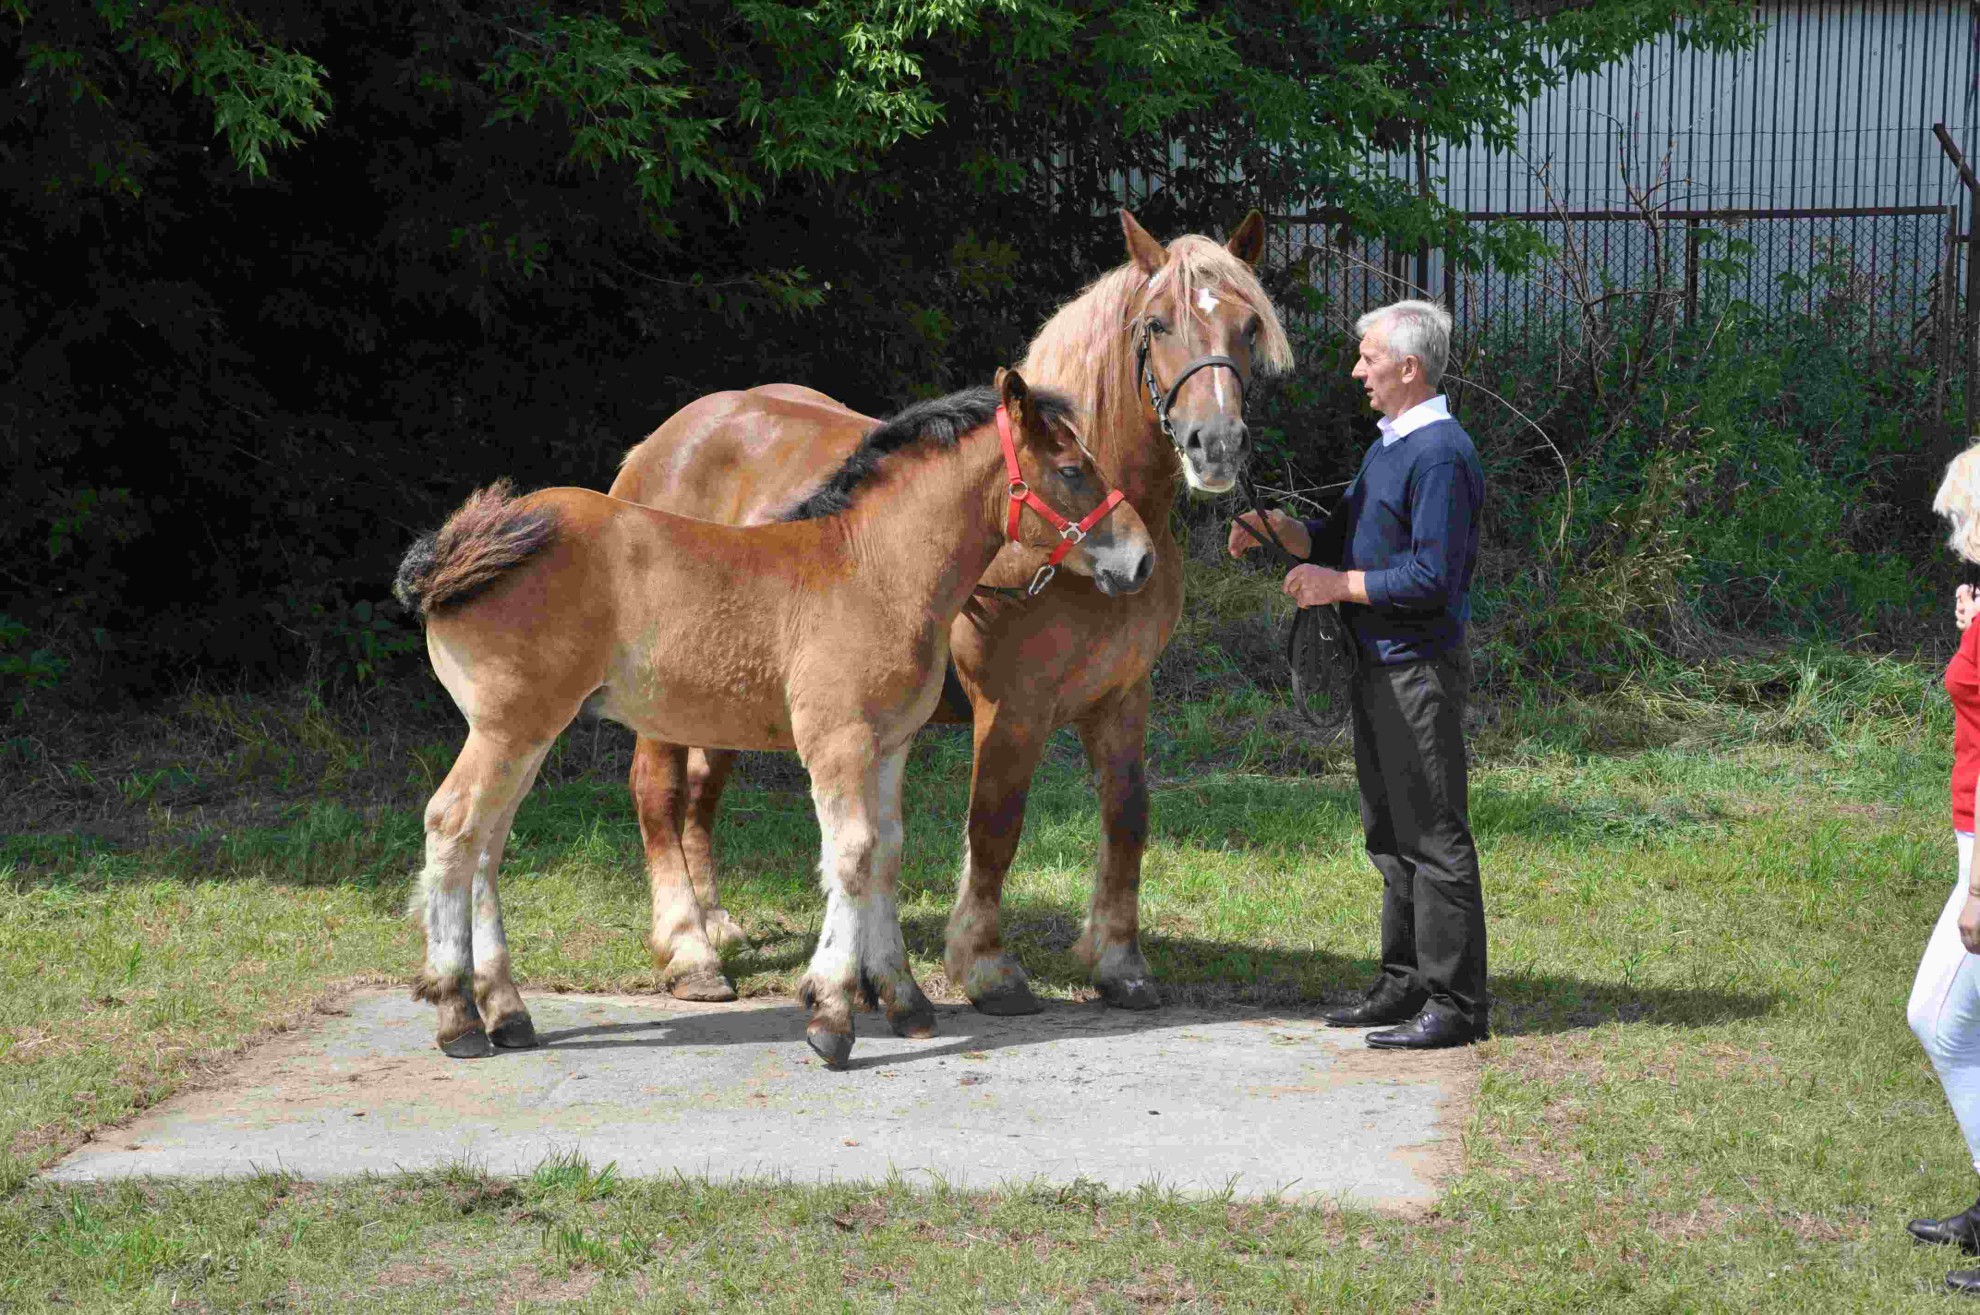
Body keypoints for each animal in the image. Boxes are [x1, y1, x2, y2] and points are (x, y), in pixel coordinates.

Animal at [392, 370, 1155, 1066]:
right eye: (1071, 469)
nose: (1142, 559)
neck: (871, 568)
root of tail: (465, 551)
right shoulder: (836, 742)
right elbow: (851, 854)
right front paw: (831, 1019)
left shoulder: (889, 745)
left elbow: (888, 852)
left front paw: (903, 1000)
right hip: (510, 727)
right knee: (453, 826)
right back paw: (459, 1015)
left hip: (528, 735)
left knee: (486, 844)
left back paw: (506, 1012)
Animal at [609, 210, 1292, 1014]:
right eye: (1156, 324)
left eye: (1249, 325)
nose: (1214, 446)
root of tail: (659, 446)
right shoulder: (1011, 706)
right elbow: (995, 823)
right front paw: (986, 964)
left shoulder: (1124, 695)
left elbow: (1127, 818)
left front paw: (1120, 961)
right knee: (658, 791)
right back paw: (690, 949)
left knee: (700, 791)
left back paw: (716, 924)